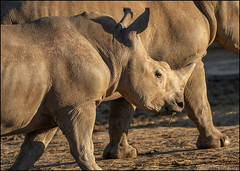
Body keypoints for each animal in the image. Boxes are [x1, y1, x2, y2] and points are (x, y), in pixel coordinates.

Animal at [0, 8, 195, 170]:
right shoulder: (78, 103)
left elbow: (31, 152)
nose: (179, 104)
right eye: (158, 74)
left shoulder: (49, 110)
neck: (115, 48)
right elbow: (83, 149)